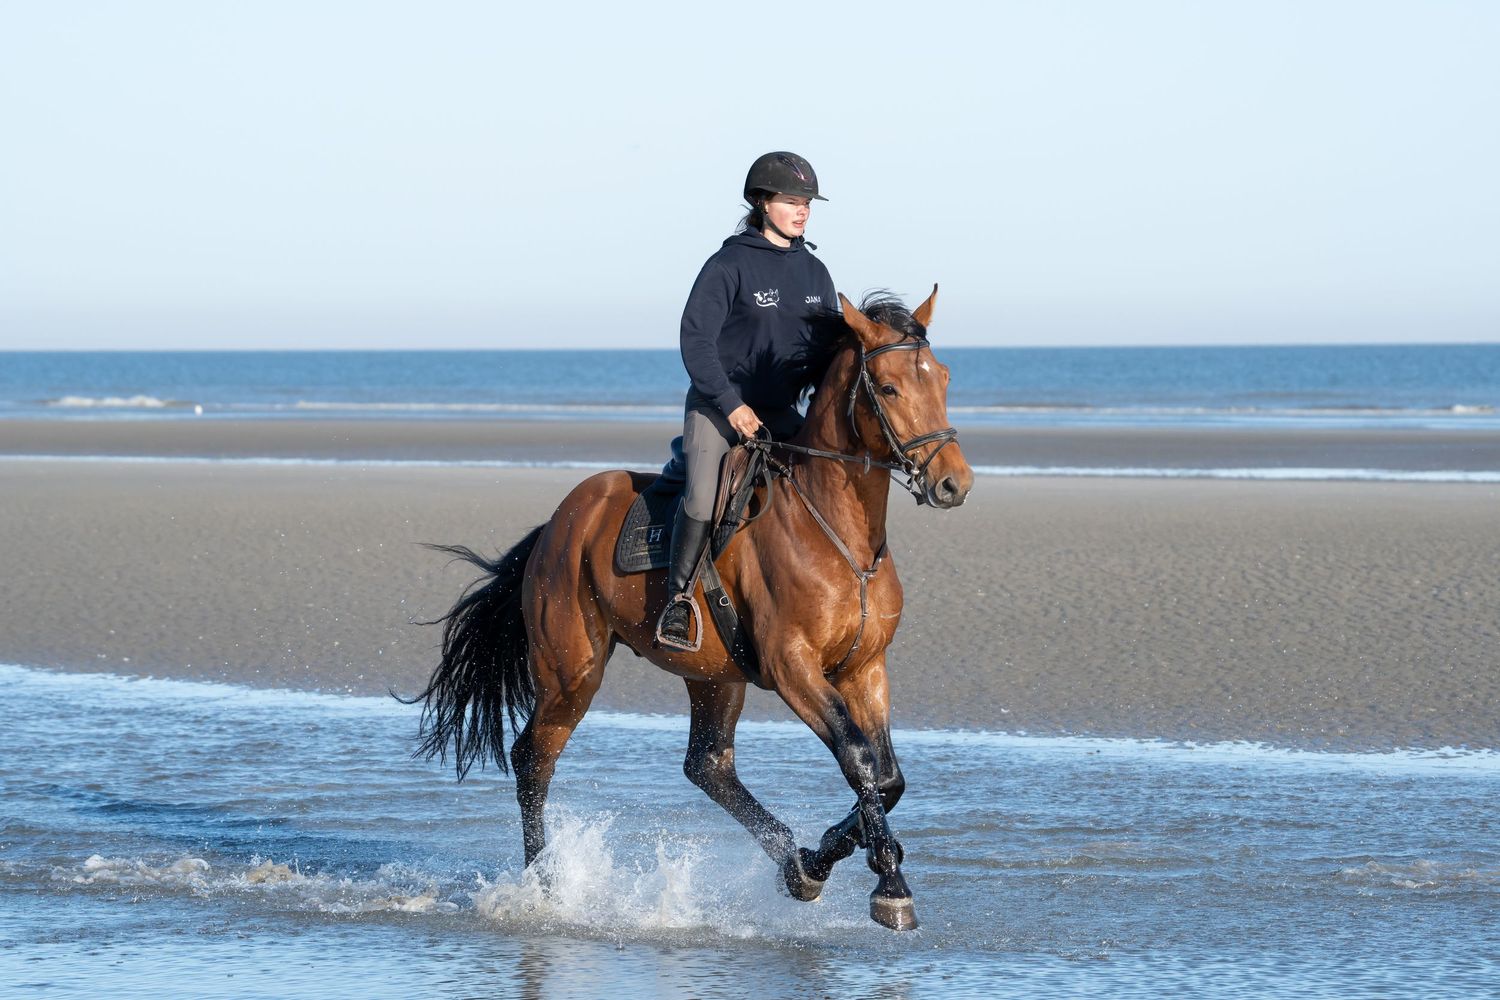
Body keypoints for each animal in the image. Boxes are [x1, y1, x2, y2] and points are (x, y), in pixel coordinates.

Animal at [407, 287, 974, 930]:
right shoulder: (793, 667)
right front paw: (890, 885)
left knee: (708, 765)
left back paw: (795, 864)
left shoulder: (864, 667)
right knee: (534, 760)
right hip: (570, 671)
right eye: (889, 388)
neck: (838, 534)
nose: (954, 483)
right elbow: (858, 758)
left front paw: (828, 856)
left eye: (943, 377)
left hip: (713, 675)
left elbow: (887, 776)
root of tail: (558, 522)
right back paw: (545, 887)